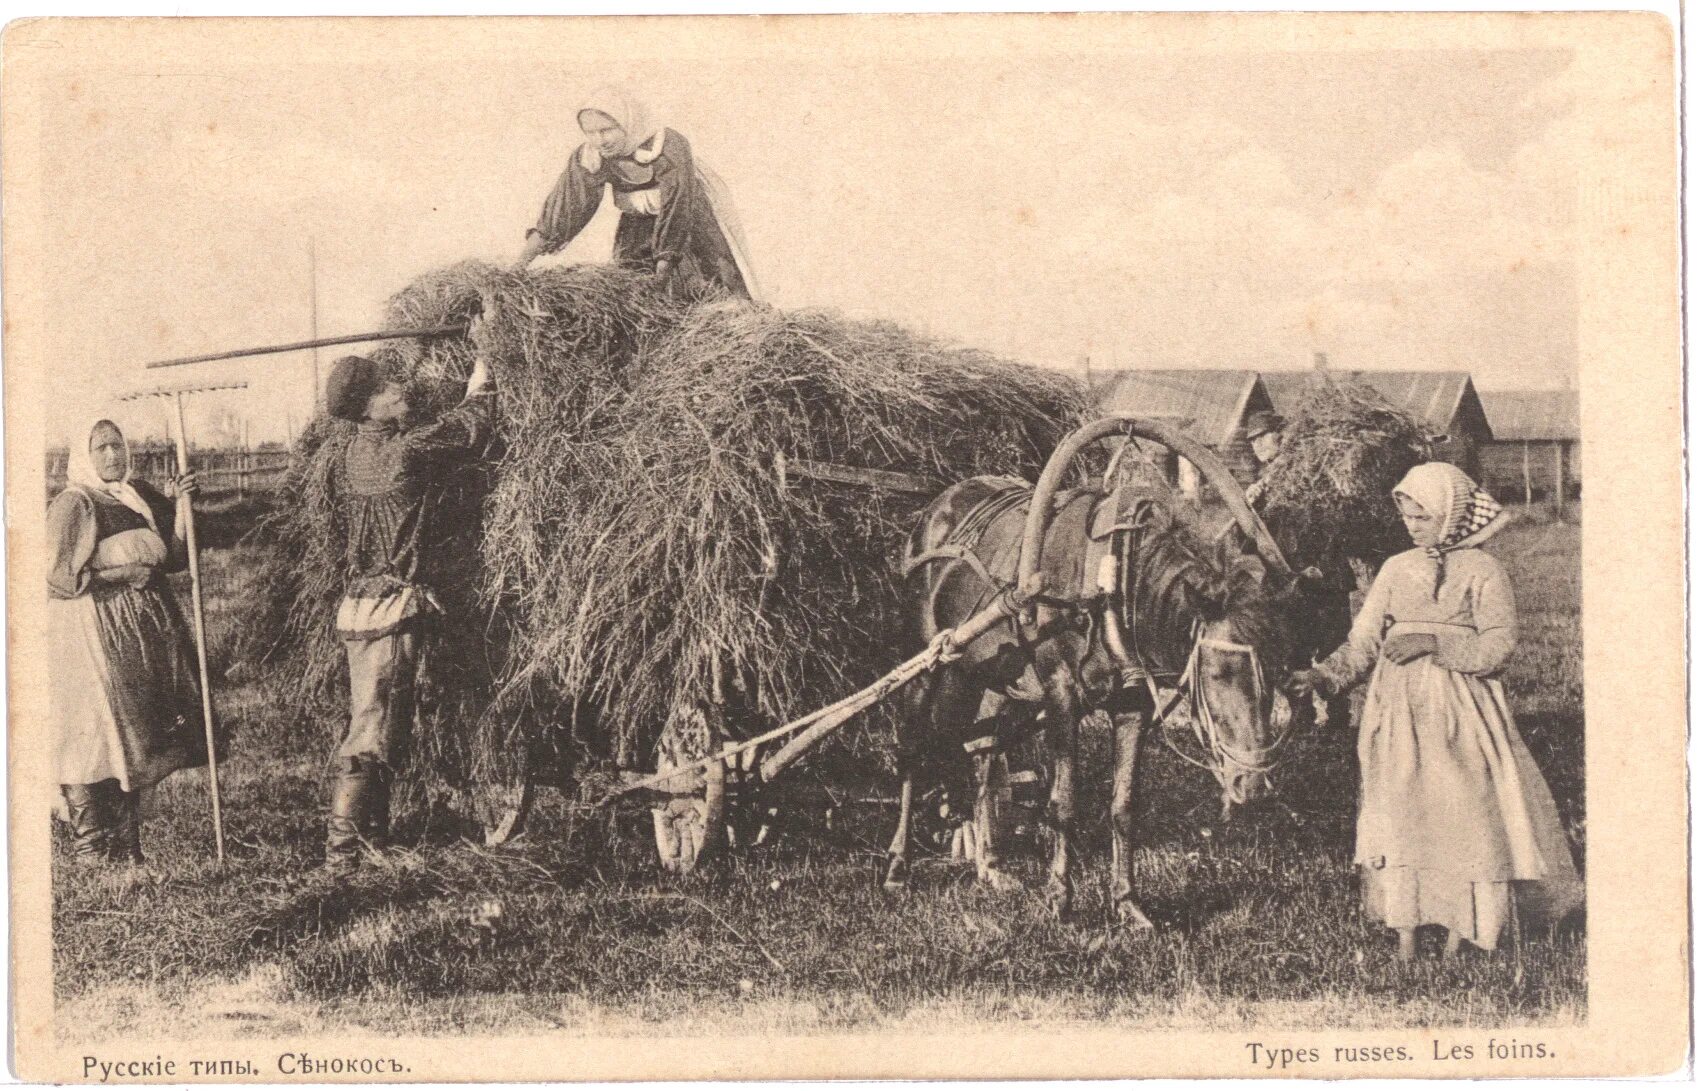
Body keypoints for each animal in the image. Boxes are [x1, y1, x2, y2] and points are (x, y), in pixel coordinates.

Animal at [882, 420, 1316, 929]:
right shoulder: (1061, 694)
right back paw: (898, 866)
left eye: (1279, 671)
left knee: (983, 748)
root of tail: (938, 505)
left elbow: (1124, 805)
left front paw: (1128, 903)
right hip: (928, 662)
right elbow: (1063, 802)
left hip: (993, 677)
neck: (1110, 583)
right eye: (1220, 672)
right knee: (912, 751)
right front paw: (1059, 898)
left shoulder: (1132, 703)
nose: (1253, 784)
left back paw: (990, 866)